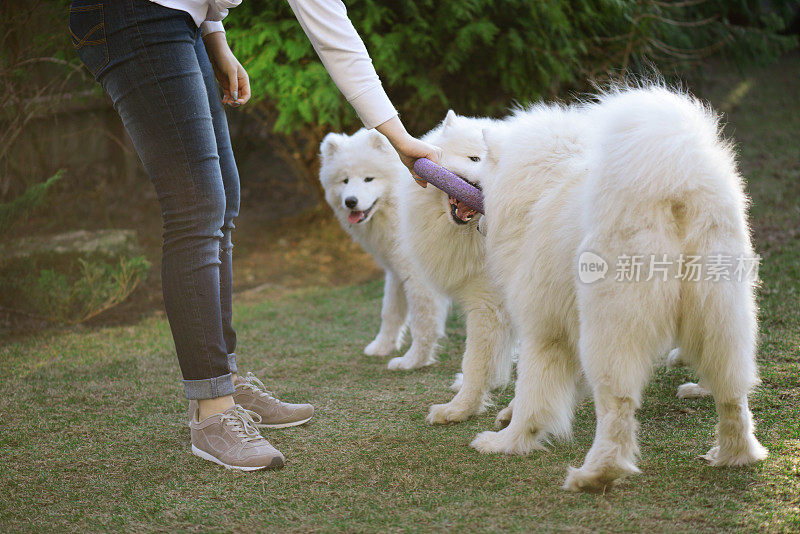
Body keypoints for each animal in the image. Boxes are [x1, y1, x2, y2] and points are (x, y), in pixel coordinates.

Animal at [320, 130, 456, 372]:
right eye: (345, 180)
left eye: (369, 179)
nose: (350, 201)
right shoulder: (396, 270)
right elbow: (390, 312)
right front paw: (382, 347)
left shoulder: (419, 278)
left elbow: (422, 321)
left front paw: (413, 361)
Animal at [462, 86, 768, 492]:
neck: (547, 184)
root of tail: (676, 188)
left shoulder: (543, 329)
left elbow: (533, 392)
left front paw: (508, 441)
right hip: (721, 316)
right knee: (733, 393)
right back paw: (735, 455)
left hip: (611, 327)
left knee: (617, 406)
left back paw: (594, 474)